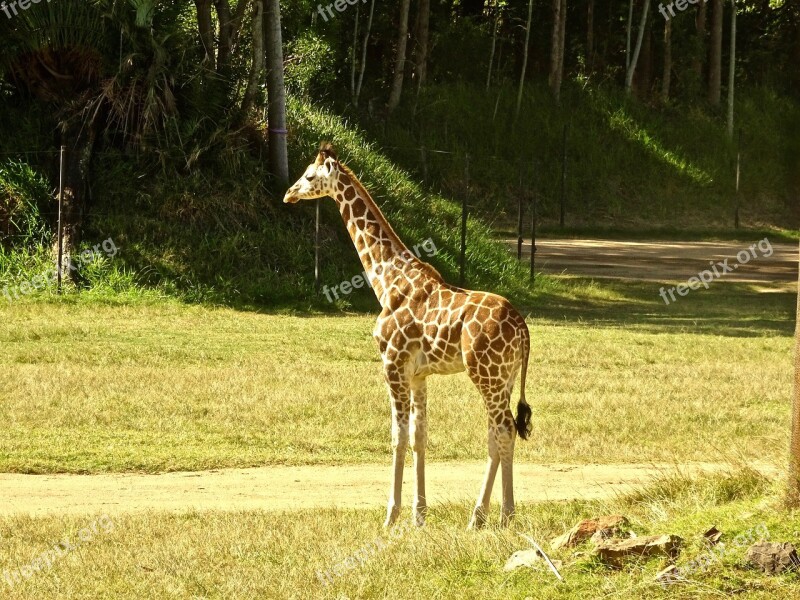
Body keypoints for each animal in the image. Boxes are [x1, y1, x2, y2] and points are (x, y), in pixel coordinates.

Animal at [284, 143, 536, 528]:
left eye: (310, 176)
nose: (289, 194)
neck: (386, 281)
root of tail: (522, 328)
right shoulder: (418, 374)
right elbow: (420, 437)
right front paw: (419, 517)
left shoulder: (392, 364)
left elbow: (397, 437)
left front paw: (390, 517)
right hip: (504, 378)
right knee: (496, 434)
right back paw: (486, 517)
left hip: (486, 375)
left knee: (504, 431)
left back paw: (496, 516)